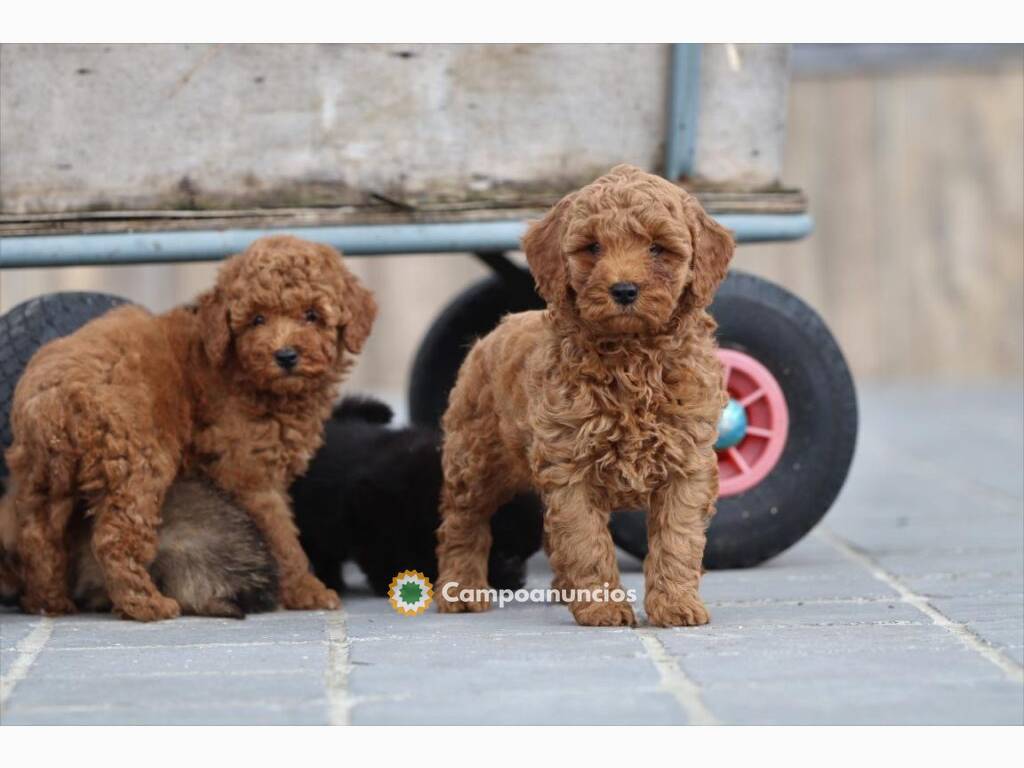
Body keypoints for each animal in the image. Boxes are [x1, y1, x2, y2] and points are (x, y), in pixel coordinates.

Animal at [3, 237, 376, 622]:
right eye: (257, 319)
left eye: (312, 315)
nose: (285, 355)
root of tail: (53, 396)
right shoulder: (250, 474)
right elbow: (283, 537)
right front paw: (307, 591)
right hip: (138, 465)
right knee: (115, 539)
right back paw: (146, 604)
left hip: (44, 476)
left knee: (37, 536)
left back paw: (48, 601)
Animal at [290, 397, 544, 593]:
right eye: (506, 555)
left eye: (526, 556)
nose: (520, 581)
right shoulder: (369, 505)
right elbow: (380, 550)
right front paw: (391, 579)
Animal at [436, 165, 733, 626]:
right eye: (593, 247)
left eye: (657, 248)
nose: (624, 290)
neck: (631, 357)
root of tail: (494, 331)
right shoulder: (570, 464)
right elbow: (585, 539)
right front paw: (603, 608)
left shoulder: (688, 463)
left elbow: (677, 539)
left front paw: (676, 604)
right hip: (475, 458)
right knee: (463, 522)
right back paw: (462, 590)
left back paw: (562, 590)